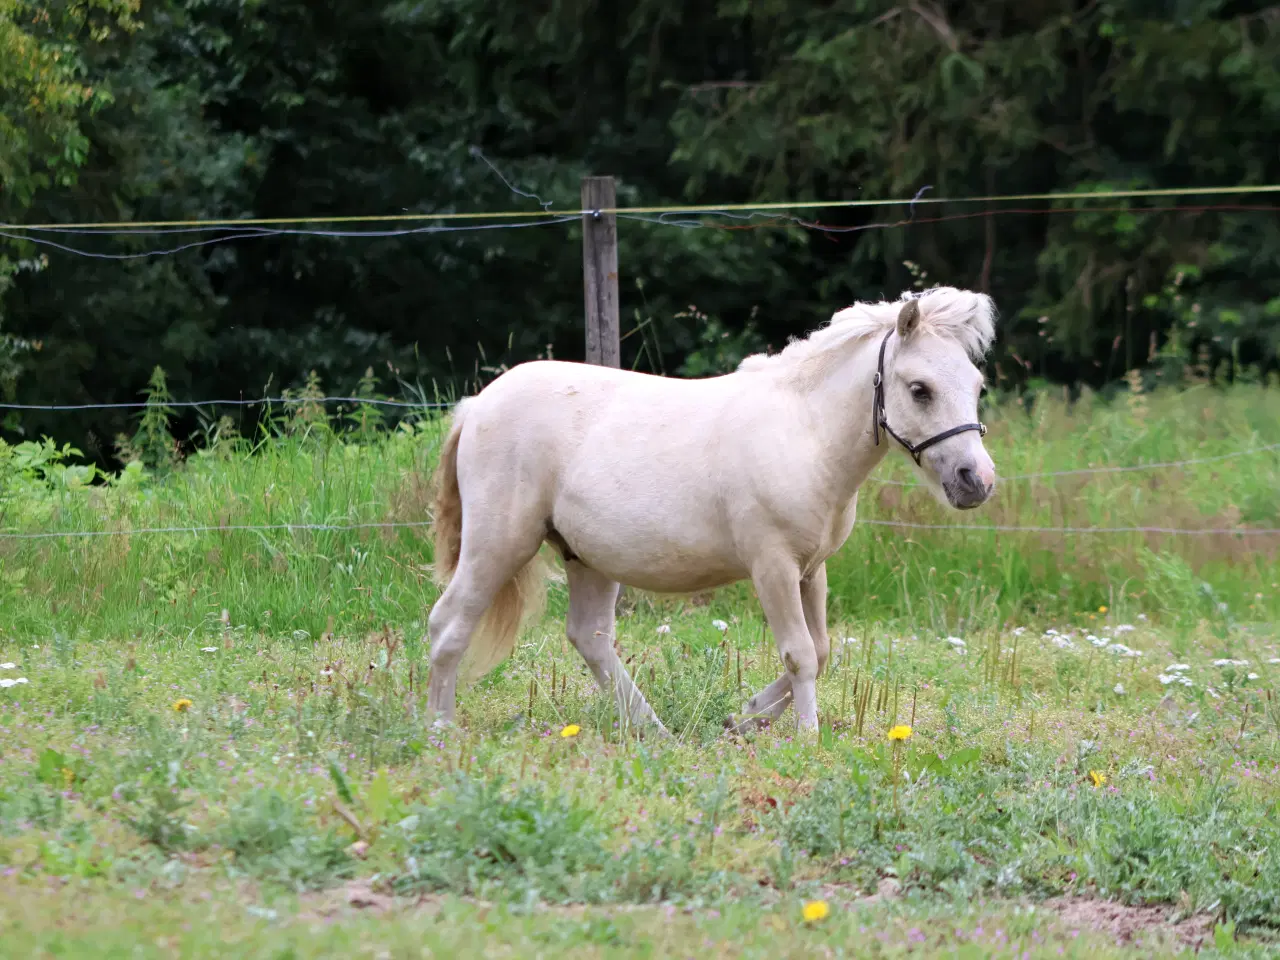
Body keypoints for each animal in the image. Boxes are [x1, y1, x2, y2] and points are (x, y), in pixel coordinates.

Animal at [430, 285, 998, 737]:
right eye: (920, 389)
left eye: (976, 385)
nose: (976, 481)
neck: (805, 433)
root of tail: (475, 406)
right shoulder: (773, 568)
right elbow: (800, 653)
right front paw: (808, 739)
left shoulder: (812, 570)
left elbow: (822, 649)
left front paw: (744, 717)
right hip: (497, 545)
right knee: (448, 624)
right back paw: (439, 730)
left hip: (586, 559)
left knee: (590, 639)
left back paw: (655, 731)